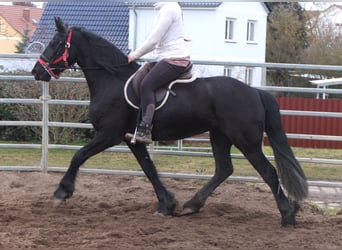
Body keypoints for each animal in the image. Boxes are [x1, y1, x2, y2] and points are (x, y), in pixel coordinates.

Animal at [32, 16, 308, 226]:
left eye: (56, 43)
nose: (36, 71)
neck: (112, 81)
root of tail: (254, 91)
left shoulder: (109, 134)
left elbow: (78, 156)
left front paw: (62, 192)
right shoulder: (132, 139)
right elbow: (149, 169)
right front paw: (167, 204)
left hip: (246, 141)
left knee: (268, 172)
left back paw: (287, 215)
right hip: (220, 136)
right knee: (224, 169)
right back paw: (191, 205)